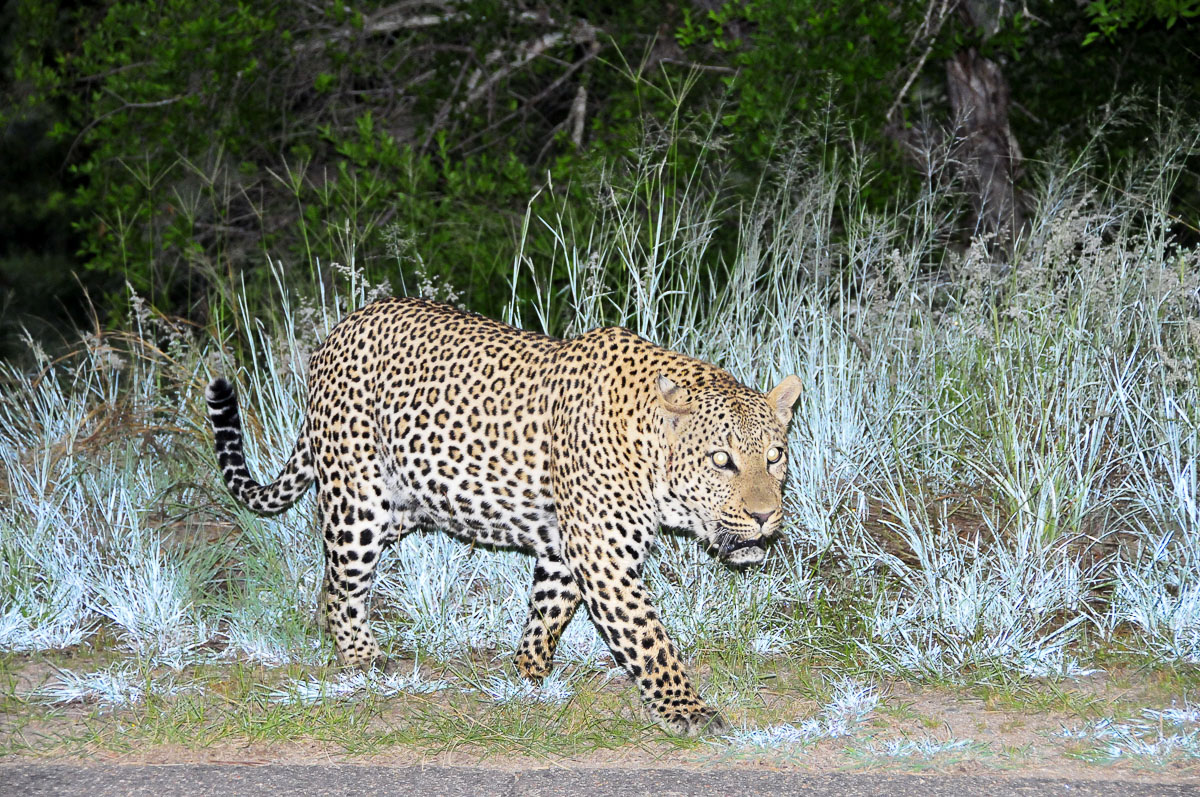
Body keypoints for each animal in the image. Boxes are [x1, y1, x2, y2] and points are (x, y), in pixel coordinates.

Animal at [206, 297, 802, 736]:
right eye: (721, 460)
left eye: (775, 456)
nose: (765, 515)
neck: (648, 449)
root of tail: (336, 332)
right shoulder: (604, 557)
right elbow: (648, 639)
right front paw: (686, 709)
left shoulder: (566, 547)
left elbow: (547, 613)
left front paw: (527, 675)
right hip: (359, 502)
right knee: (344, 582)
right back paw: (360, 658)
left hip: (405, 502)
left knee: (329, 577)